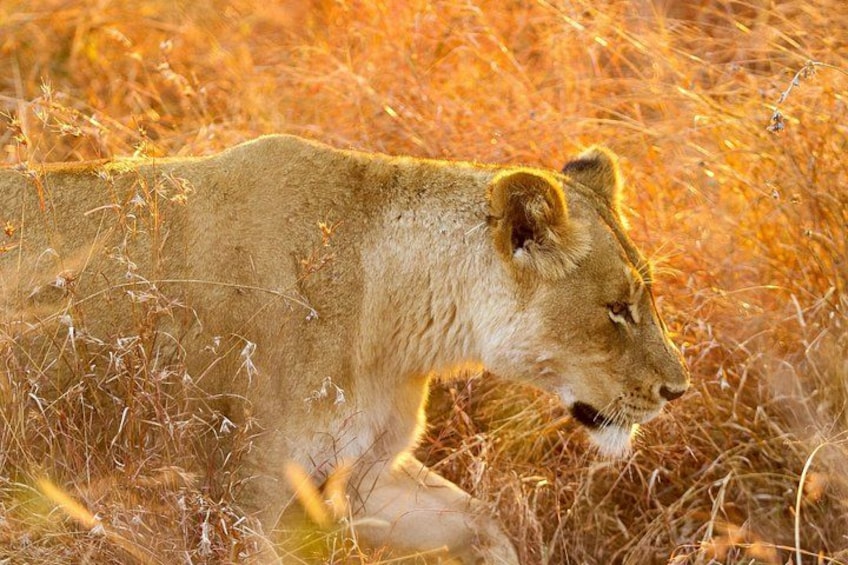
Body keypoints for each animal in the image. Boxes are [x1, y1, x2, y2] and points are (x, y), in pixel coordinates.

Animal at [0, 135, 688, 563]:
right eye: (617, 308)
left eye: (646, 295)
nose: (677, 391)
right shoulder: (233, 496)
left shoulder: (366, 474)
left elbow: (482, 522)